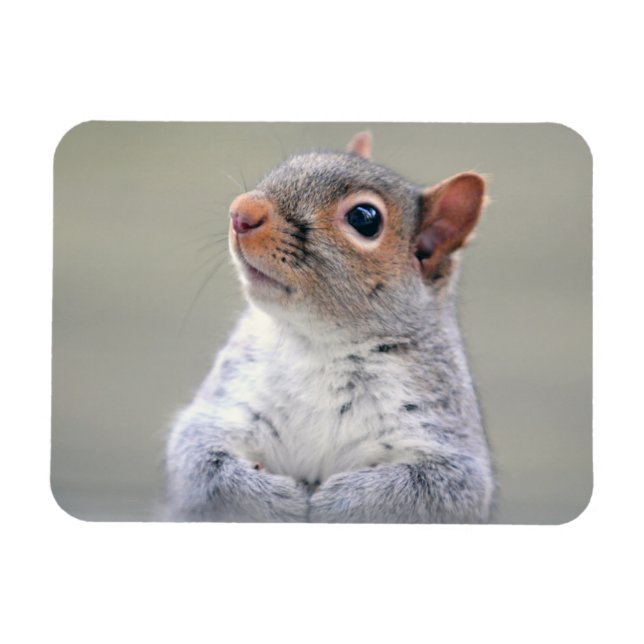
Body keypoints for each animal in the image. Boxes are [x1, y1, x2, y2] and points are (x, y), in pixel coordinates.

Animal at [165, 131, 495, 523]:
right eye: (290, 164)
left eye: (364, 218)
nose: (241, 212)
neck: (319, 344)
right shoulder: (227, 403)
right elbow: (198, 462)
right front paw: (275, 498)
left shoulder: (444, 435)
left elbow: (438, 490)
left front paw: (341, 501)